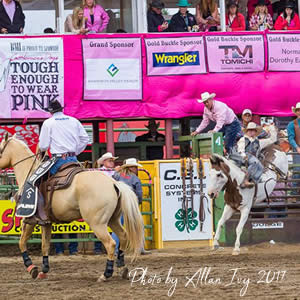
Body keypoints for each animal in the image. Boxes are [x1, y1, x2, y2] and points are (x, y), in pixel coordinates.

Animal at [0, 134, 144, 282]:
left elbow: (22, 242)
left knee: (111, 243)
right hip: (113, 219)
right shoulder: (46, 223)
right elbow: (45, 245)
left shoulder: (29, 220)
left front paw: (32, 268)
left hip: (97, 223)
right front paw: (44, 270)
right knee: (123, 237)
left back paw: (105, 274)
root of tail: (114, 183)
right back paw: (122, 268)